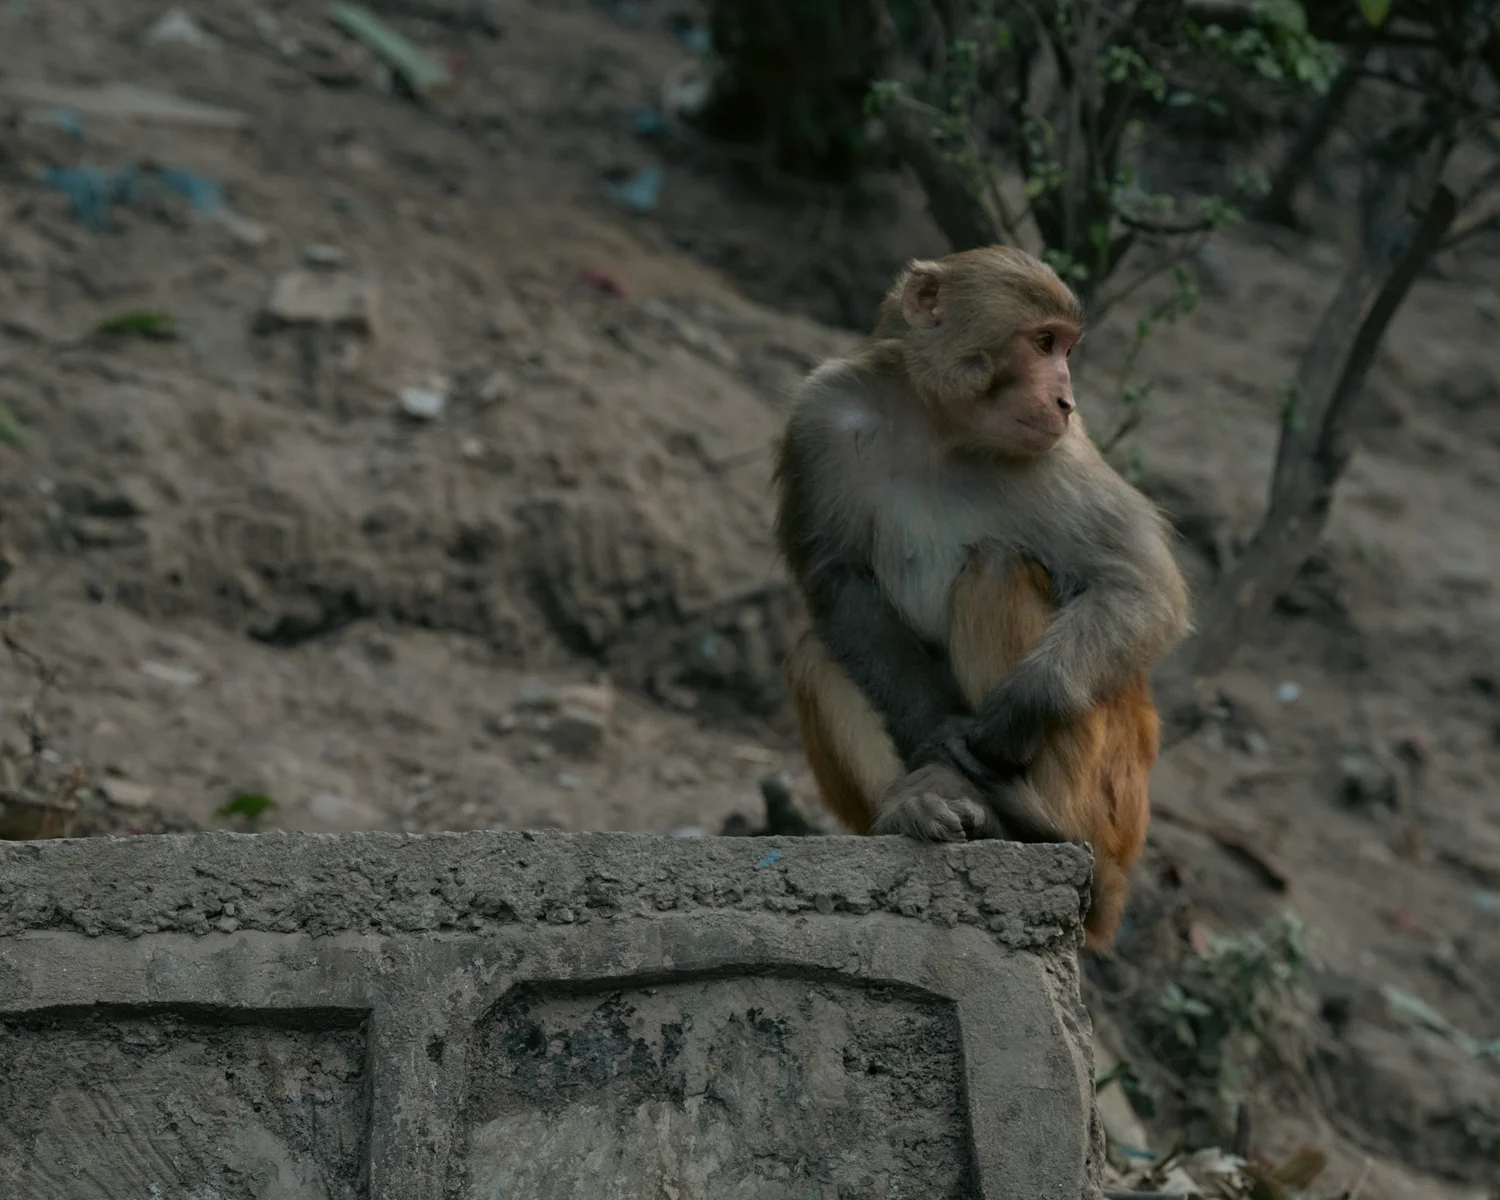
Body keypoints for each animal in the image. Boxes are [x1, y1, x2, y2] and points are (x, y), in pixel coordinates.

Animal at [772, 245, 1190, 947]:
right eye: (1043, 342)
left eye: (1064, 347)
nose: (1066, 399)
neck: (940, 428)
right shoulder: (820, 415)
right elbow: (842, 584)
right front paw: (934, 749)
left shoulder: (1063, 454)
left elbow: (1141, 584)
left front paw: (1018, 712)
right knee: (815, 650)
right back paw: (920, 805)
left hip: (1107, 788)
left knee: (996, 567)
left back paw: (1028, 826)